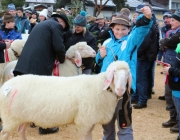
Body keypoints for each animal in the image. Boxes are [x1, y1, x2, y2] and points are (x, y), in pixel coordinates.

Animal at [0, 61, 131, 140]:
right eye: (114, 73)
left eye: (127, 74)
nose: (120, 90)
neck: (100, 87)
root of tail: (5, 85)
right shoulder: (83, 123)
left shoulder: (89, 122)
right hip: (10, 118)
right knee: (4, 134)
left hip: (23, 116)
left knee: (21, 130)